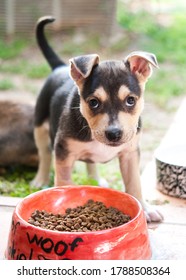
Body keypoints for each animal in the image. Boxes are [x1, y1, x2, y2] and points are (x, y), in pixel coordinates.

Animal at [32, 17, 163, 223]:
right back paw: (40, 180)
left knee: (90, 162)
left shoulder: (130, 153)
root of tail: (60, 66)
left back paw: (96, 180)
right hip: (39, 125)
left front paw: (145, 208)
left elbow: (134, 182)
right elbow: (63, 181)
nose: (114, 134)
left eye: (130, 100)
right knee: (44, 154)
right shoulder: (63, 152)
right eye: (93, 102)